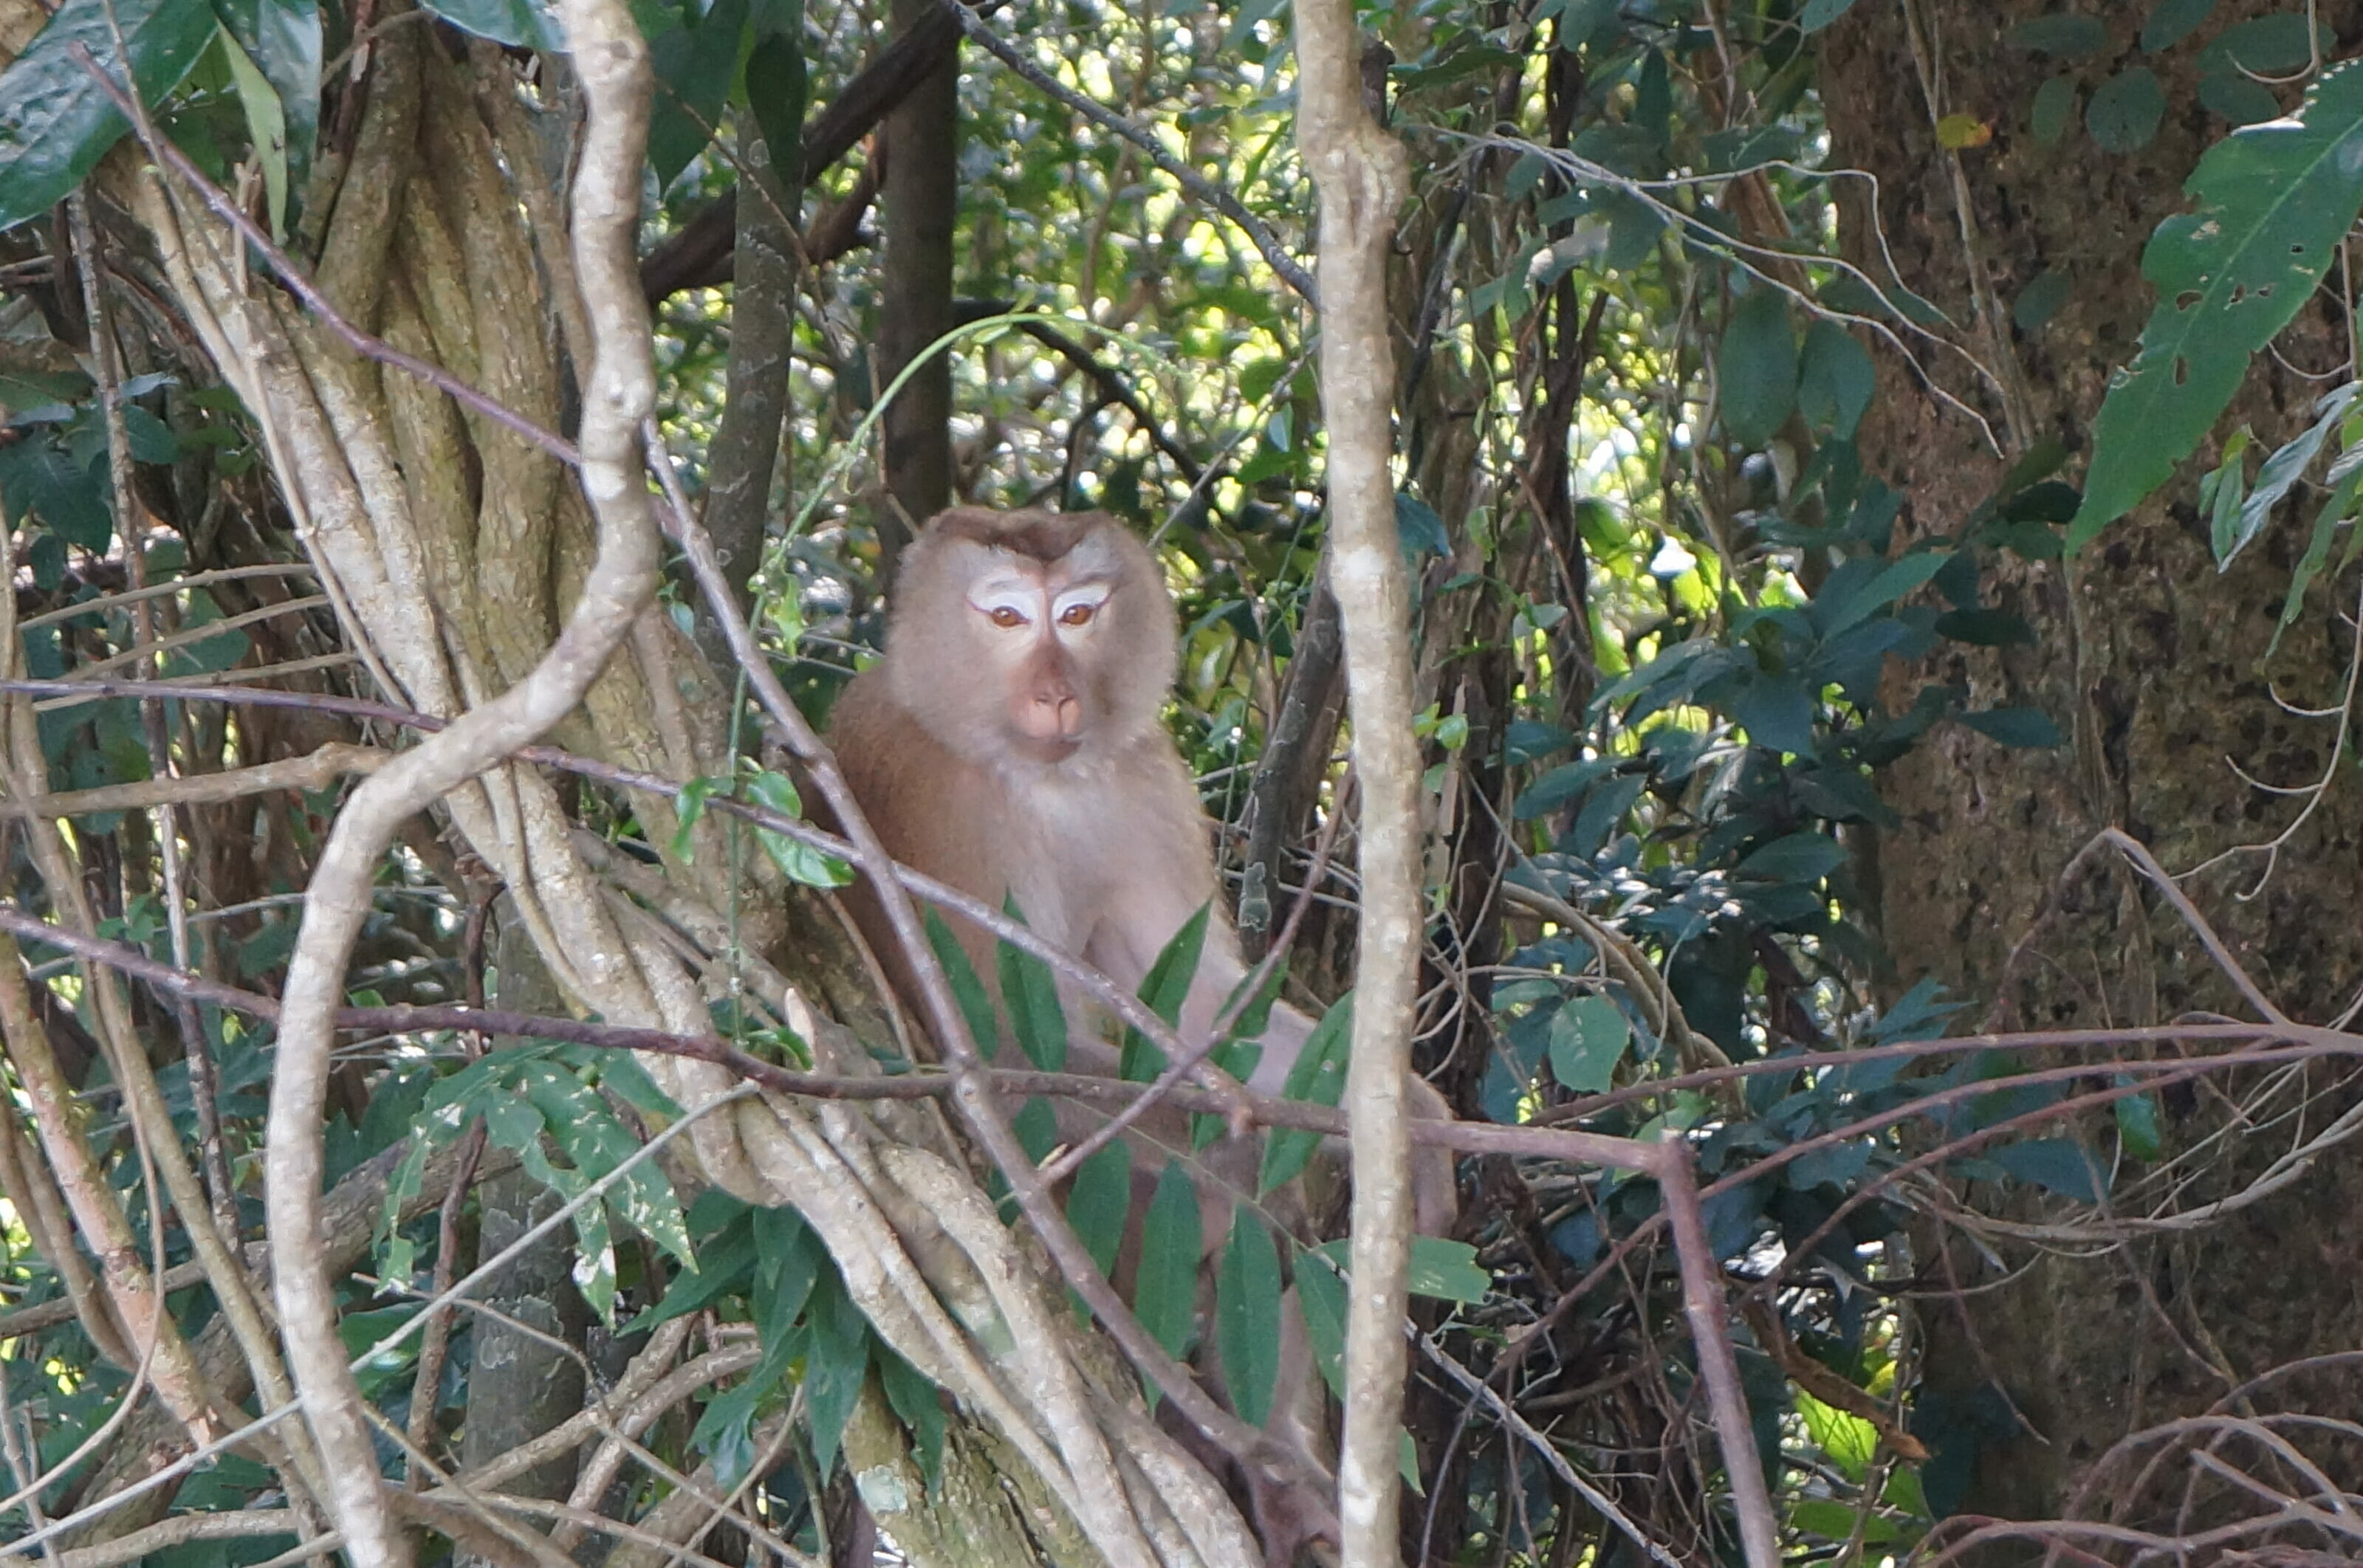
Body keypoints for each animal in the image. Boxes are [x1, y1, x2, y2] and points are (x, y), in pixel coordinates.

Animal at [827, 507, 1455, 1558]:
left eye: (1078, 615)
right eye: (1006, 618)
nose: (1053, 692)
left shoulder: (1140, 783)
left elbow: (1199, 1009)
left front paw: (1413, 1116)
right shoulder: (934, 802)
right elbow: (997, 1058)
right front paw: (1279, 1153)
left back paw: (1278, 1479)